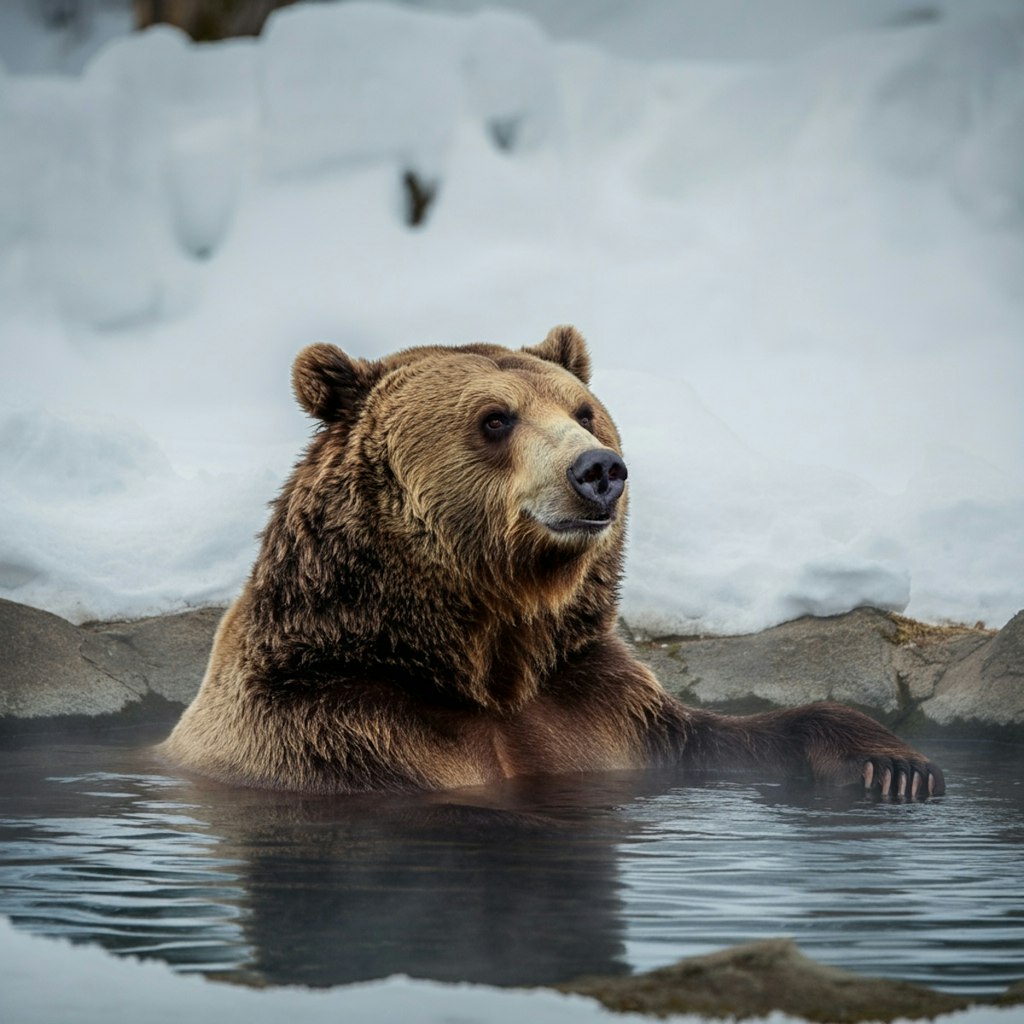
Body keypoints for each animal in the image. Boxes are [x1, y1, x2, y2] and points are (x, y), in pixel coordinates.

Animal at [159, 327, 942, 798]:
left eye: (584, 411)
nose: (599, 470)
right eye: (495, 419)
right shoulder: (335, 732)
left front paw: (895, 764)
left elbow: (734, 736)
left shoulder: (606, 709)